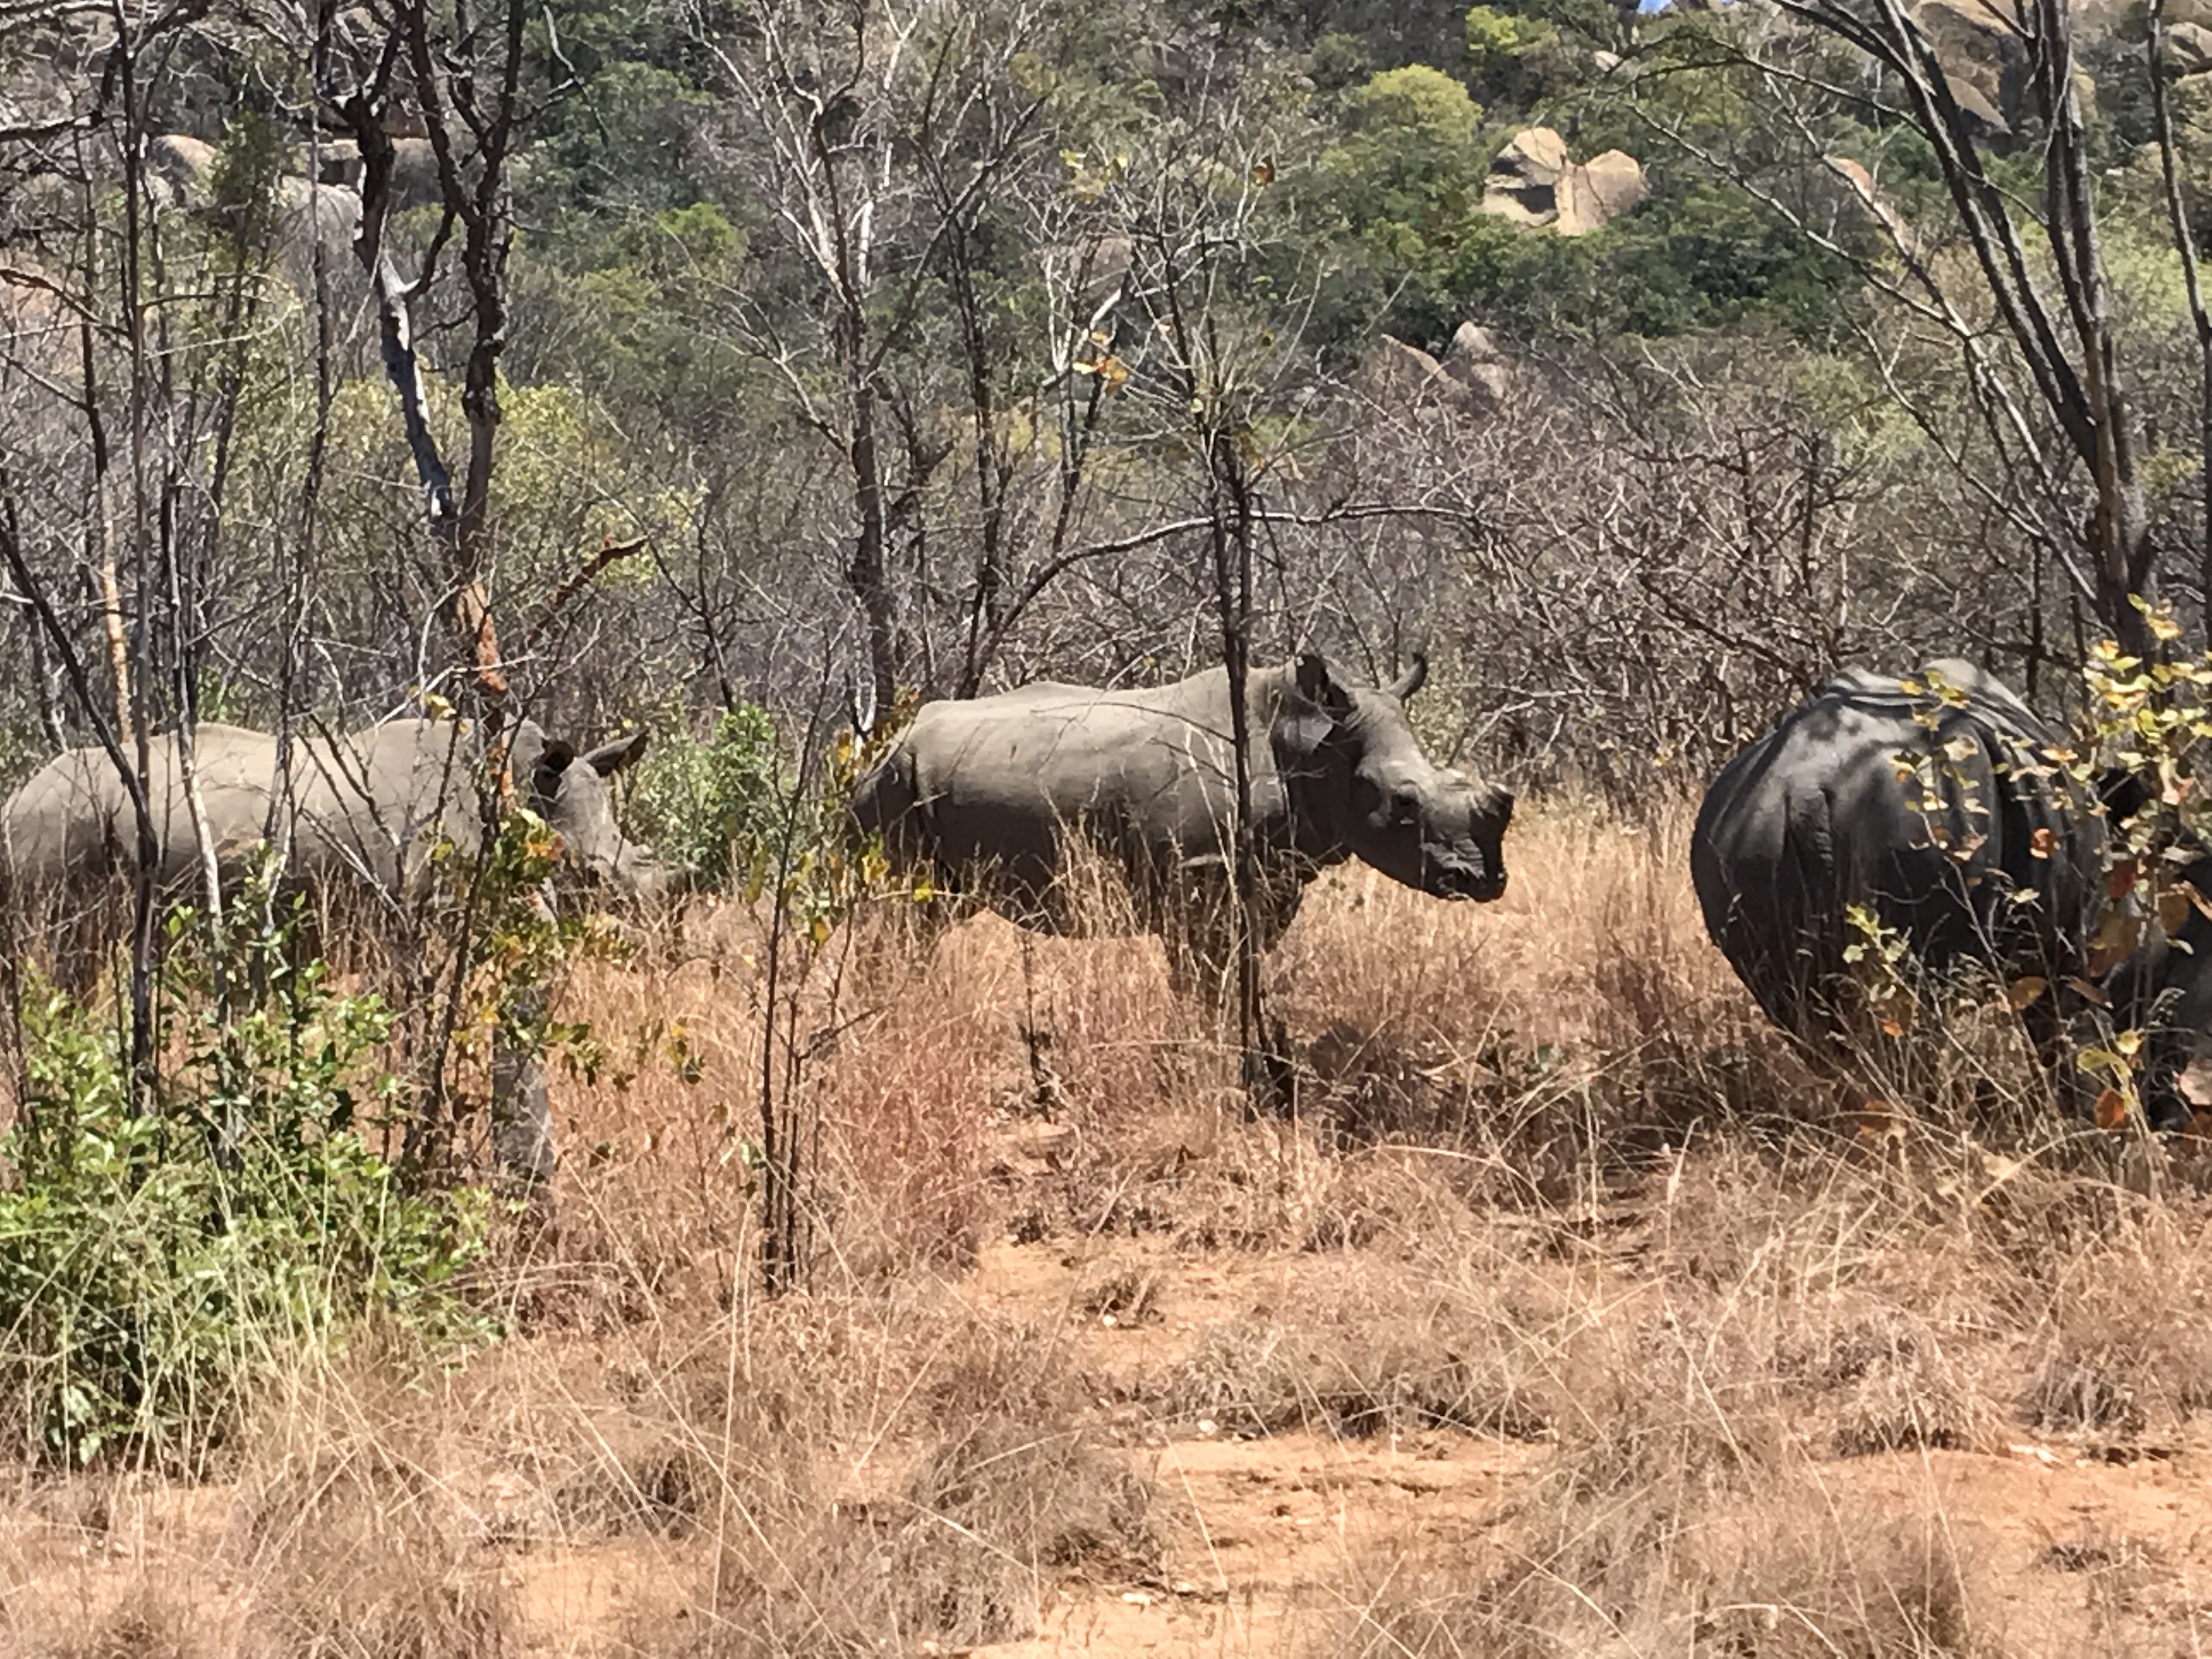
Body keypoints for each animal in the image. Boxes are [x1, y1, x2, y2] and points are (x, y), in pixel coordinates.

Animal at [848, 653, 1513, 1000]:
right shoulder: (1198, 871)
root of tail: (889, 740)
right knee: (907, 911)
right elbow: (1202, 978)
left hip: (927, 776)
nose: (1483, 880)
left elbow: (1243, 970)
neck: (1308, 741)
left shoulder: (1274, 873)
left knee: (933, 917)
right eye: (1402, 803)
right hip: (894, 783)